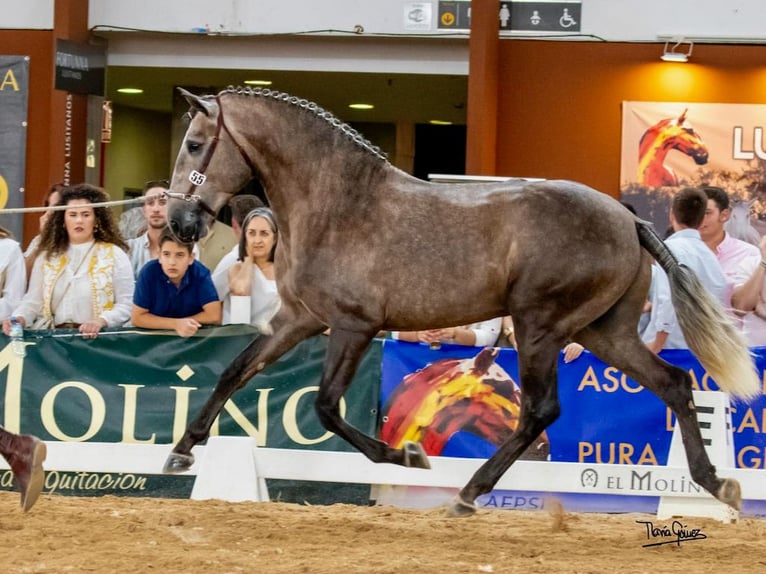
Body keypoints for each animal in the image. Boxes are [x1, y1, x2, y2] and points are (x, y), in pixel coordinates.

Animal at [162, 88, 760, 520]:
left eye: (194, 143)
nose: (179, 223)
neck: (338, 205)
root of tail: (628, 220)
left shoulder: (353, 327)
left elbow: (328, 407)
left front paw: (407, 456)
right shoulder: (300, 319)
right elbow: (235, 371)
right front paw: (183, 450)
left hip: (541, 326)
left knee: (542, 410)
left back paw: (469, 493)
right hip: (603, 332)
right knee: (674, 384)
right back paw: (717, 485)